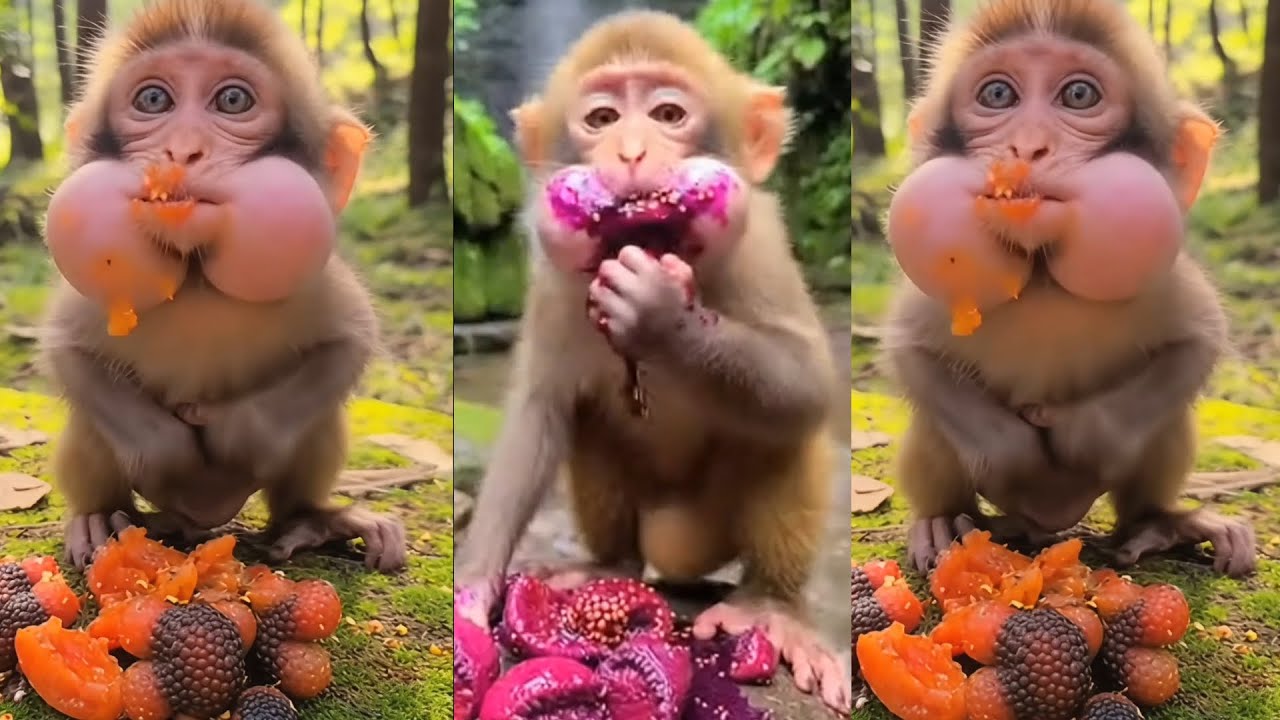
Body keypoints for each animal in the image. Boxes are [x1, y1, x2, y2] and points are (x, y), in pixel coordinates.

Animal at [37, 0, 407, 573]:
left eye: (232, 100)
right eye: (153, 100)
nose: (183, 151)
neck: (198, 285)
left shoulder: (318, 283)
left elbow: (348, 342)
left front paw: (235, 430)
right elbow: (68, 351)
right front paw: (165, 448)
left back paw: (313, 520)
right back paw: (104, 519)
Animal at [453, 11, 850, 712]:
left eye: (668, 114)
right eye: (603, 118)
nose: (632, 152)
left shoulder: (761, 244)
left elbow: (807, 382)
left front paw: (661, 315)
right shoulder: (553, 283)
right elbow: (540, 411)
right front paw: (474, 589)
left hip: (708, 528)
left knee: (785, 429)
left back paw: (772, 607)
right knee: (589, 422)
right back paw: (608, 566)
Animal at [879, 0, 1257, 578]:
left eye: (1079, 95)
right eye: (998, 95)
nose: (1028, 146)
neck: (1043, 283)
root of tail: (1048, 524)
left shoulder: (1165, 281)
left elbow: (1197, 341)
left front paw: (1082, 432)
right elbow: (911, 350)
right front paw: (1010, 449)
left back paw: (1161, 524)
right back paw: (946, 522)